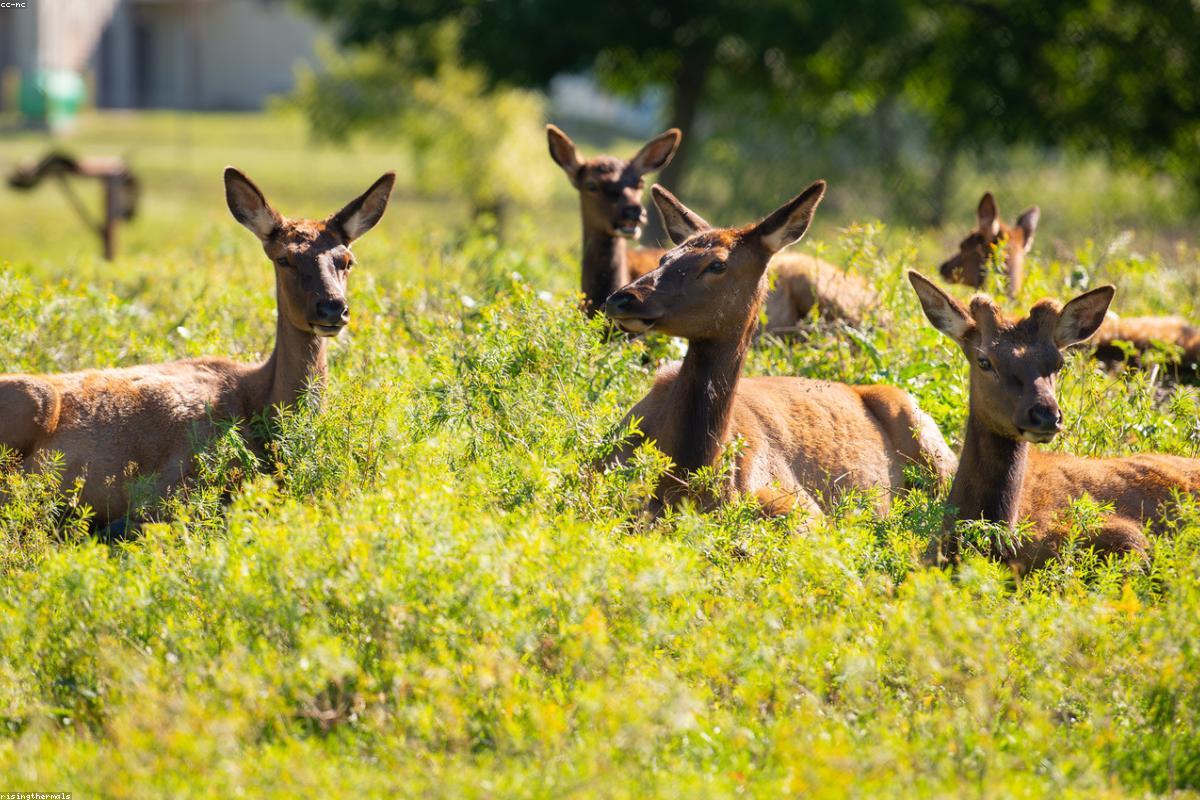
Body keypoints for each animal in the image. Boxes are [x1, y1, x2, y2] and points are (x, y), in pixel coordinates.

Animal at [0, 166, 394, 526]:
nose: (332, 308)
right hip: (33, 401)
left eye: (347, 260)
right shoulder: (178, 482)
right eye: (284, 258)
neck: (261, 408)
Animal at [601, 181, 956, 518]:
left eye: (717, 264)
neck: (689, 473)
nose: (622, 297)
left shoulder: (802, 507)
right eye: (665, 257)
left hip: (934, 451)